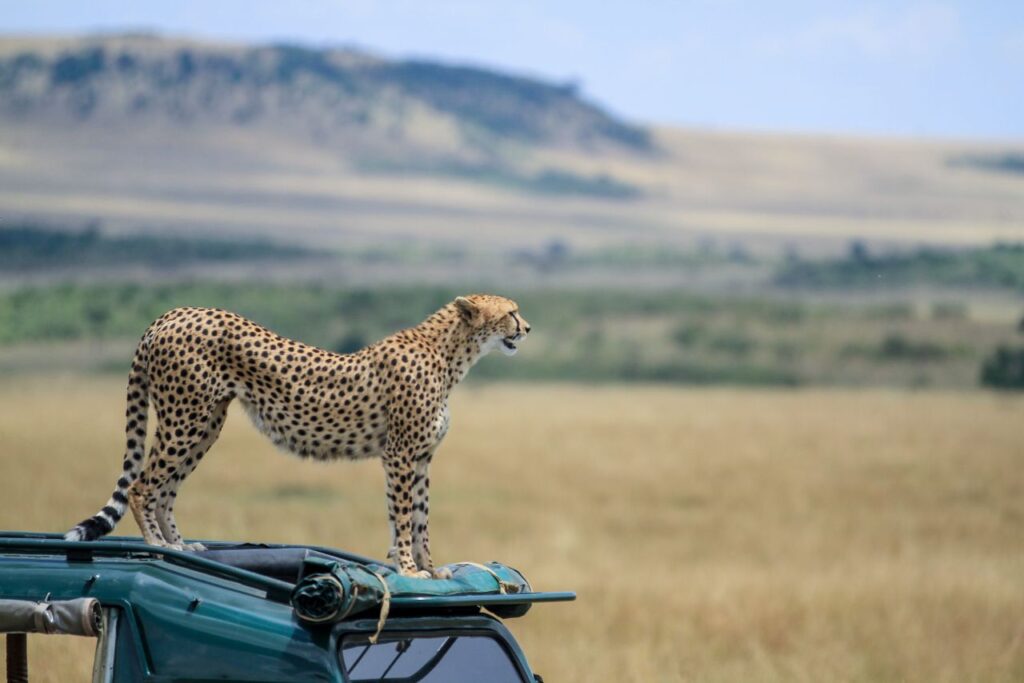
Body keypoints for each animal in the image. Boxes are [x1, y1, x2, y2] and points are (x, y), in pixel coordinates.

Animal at [64, 294, 530, 578]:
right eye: (511, 312)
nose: (526, 328)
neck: (450, 353)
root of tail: (175, 312)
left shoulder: (420, 458)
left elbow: (420, 517)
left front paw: (428, 568)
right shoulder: (399, 454)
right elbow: (401, 515)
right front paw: (409, 568)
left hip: (206, 424)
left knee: (166, 488)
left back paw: (180, 545)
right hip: (186, 416)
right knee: (143, 485)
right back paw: (159, 545)